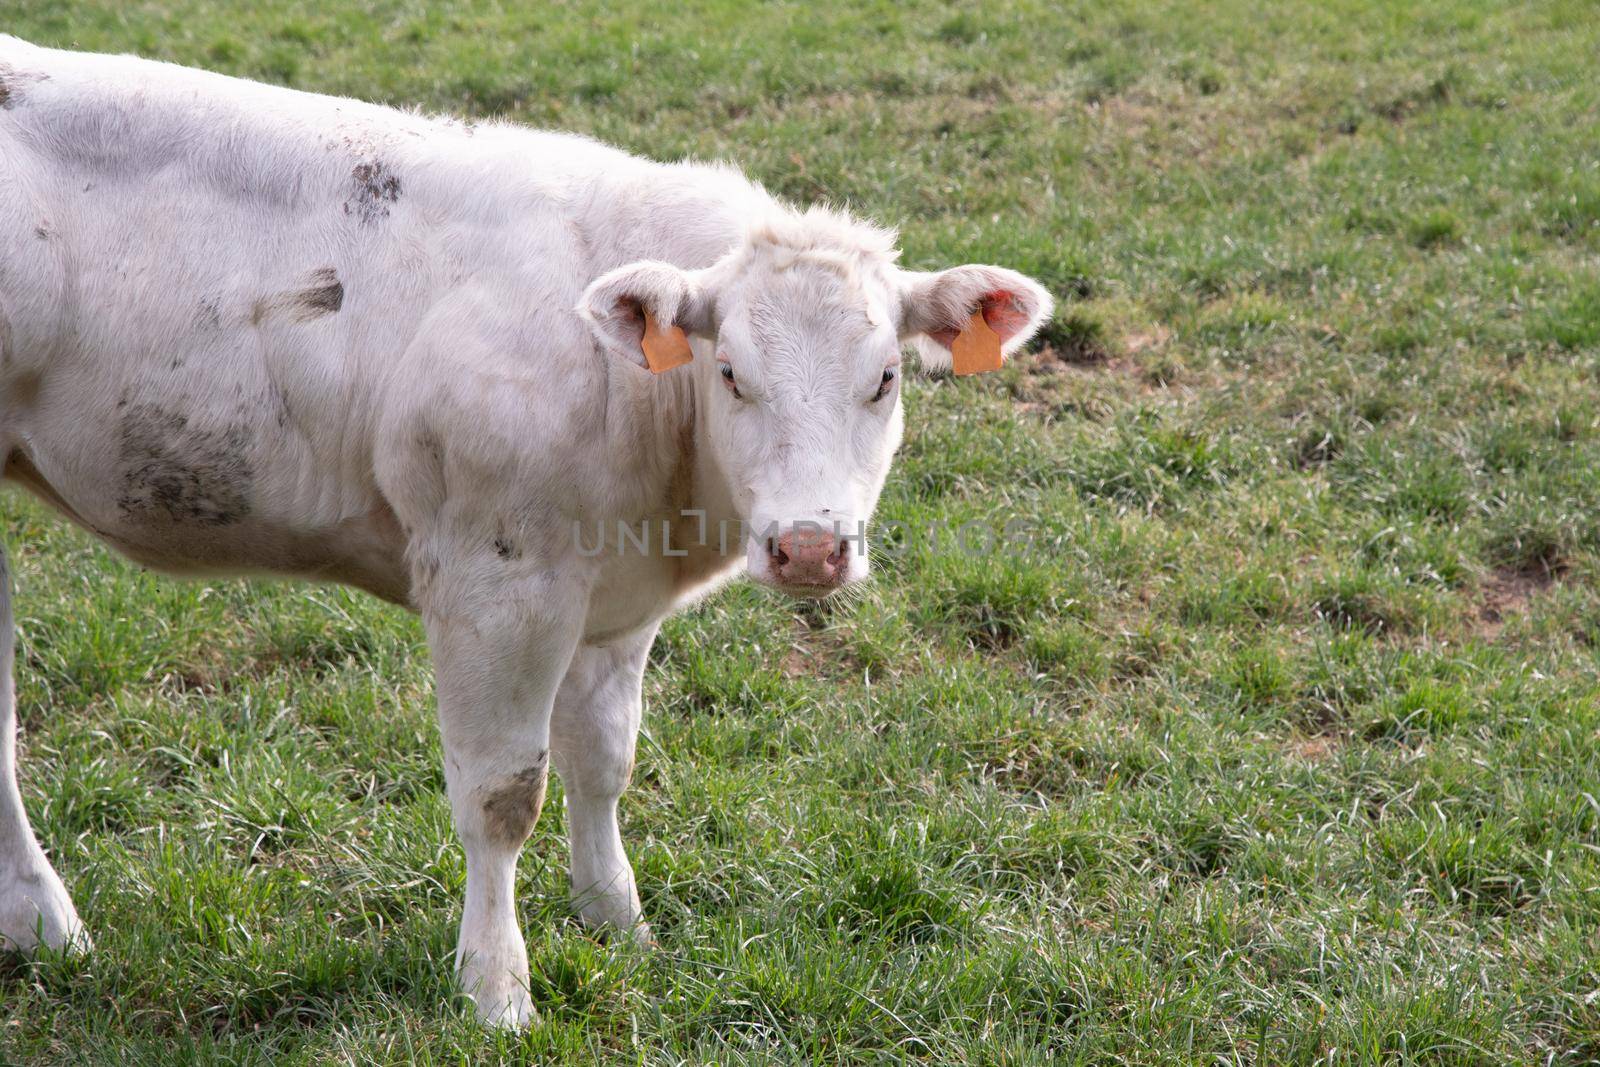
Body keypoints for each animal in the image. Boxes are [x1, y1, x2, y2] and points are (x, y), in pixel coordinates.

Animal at [0, 37, 1049, 1023]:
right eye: (730, 373)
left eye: (885, 378)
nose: (809, 546)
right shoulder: (496, 581)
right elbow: (503, 796)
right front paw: (497, 988)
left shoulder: (614, 600)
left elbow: (605, 759)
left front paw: (617, 920)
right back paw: (51, 921)